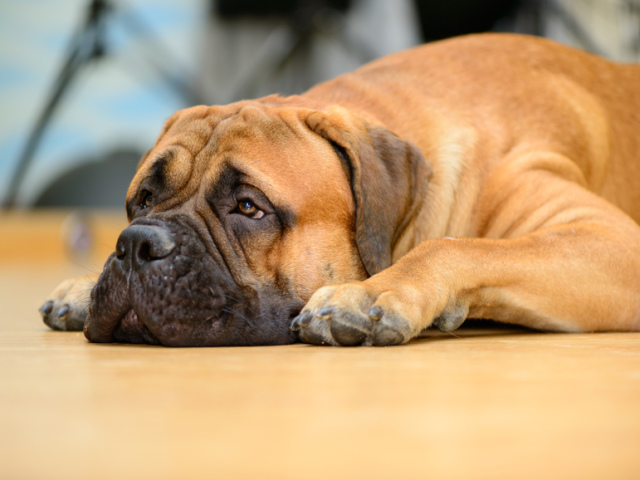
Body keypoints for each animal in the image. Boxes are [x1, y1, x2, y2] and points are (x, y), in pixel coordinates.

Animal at [38, 34, 640, 348]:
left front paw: (367, 295)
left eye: (249, 207)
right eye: (142, 200)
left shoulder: (613, 240)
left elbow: (454, 246)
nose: (137, 244)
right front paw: (82, 287)